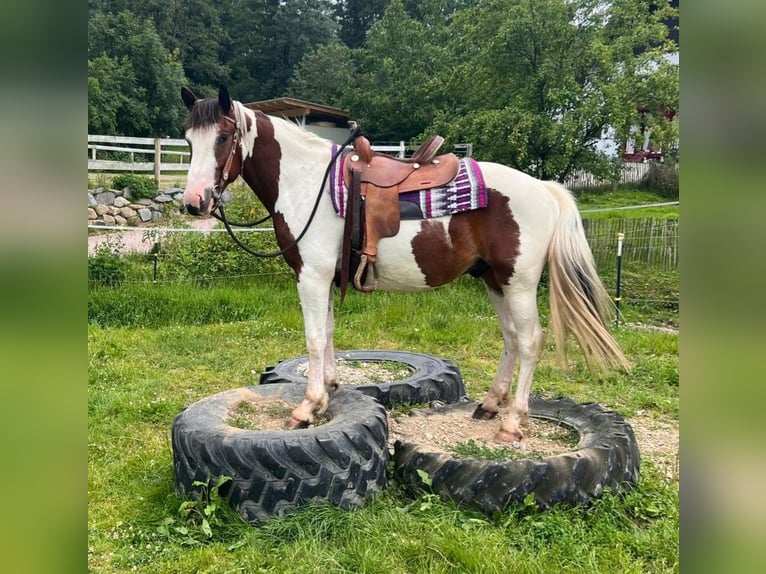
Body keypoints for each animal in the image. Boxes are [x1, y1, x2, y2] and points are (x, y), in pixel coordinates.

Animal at [182, 86, 632, 446]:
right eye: (188, 141)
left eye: (223, 137)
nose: (194, 201)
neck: (307, 184)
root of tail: (545, 189)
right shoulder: (325, 278)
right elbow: (327, 334)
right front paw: (328, 391)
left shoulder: (312, 276)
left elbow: (313, 339)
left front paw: (307, 408)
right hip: (493, 280)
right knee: (510, 338)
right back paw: (490, 405)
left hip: (517, 282)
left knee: (530, 341)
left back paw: (512, 422)